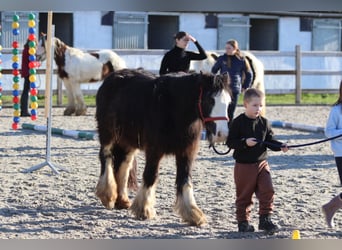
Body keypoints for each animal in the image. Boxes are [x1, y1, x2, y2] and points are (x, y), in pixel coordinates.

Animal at [95, 69, 231, 227]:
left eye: (228, 102)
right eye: (210, 100)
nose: (222, 134)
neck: (173, 108)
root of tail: (111, 77)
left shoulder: (186, 152)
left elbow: (185, 179)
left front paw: (192, 213)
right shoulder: (154, 150)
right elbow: (151, 175)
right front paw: (144, 209)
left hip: (128, 142)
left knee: (124, 165)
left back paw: (122, 200)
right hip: (108, 135)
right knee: (106, 157)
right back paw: (108, 194)